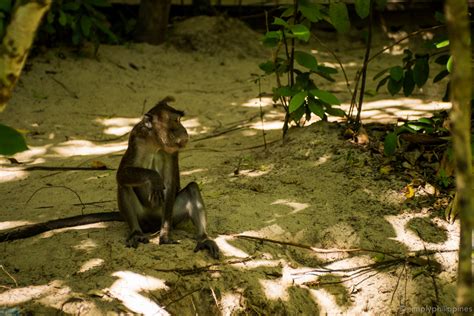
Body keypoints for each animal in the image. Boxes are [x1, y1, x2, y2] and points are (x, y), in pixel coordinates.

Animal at [0, 97, 218, 260]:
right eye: (176, 122)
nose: (184, 131)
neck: (155, 142)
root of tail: (150, 223)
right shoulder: (135, 138)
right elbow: (121, 175)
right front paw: (154, 179)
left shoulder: (172, 152)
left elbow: (173, 184)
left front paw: (165, 234)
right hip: (141, 217)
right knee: (123, 185)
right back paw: (136, 233)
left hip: (172, 214)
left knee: (191, 188)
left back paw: (203, 238)